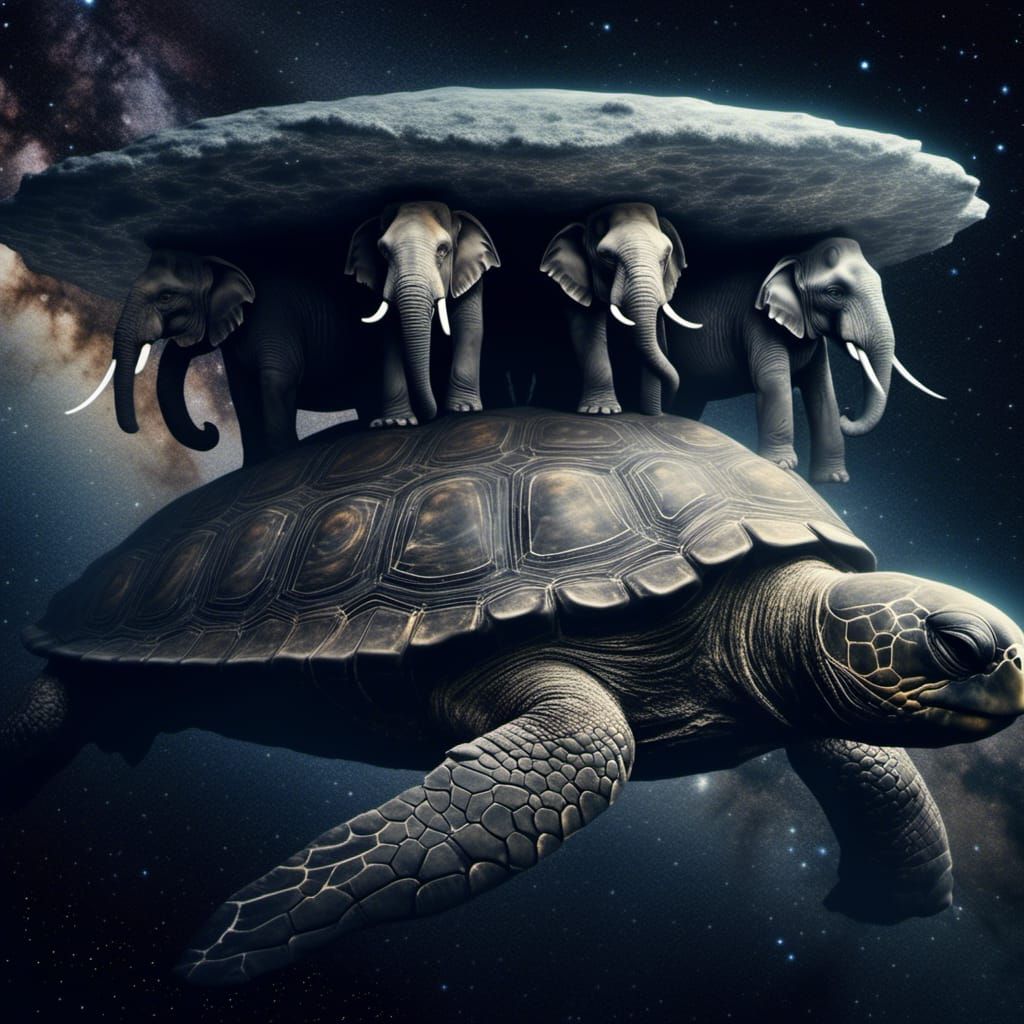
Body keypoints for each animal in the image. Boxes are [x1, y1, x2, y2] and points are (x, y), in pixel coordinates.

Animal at [67, 249, 378, 466]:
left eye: (166, 297)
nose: (209, 428)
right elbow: (242, 396)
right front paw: (253, 467)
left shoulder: (276, 315)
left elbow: (277, 380)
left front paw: (286, 458)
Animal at [345, 201, 500, 426]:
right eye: (383, 251)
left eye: (443, 250)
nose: (433, 415)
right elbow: (390, 338)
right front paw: (394, 422)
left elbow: (468, 325)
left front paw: (463, 410)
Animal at [661, 237, 945, 483]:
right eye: (835, 292)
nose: (848, 415)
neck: (795, 257)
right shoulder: (757, 321)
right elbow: (773, 381)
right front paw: (781, 466)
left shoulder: (814, 345)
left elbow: (822, 392)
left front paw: (833, 479)